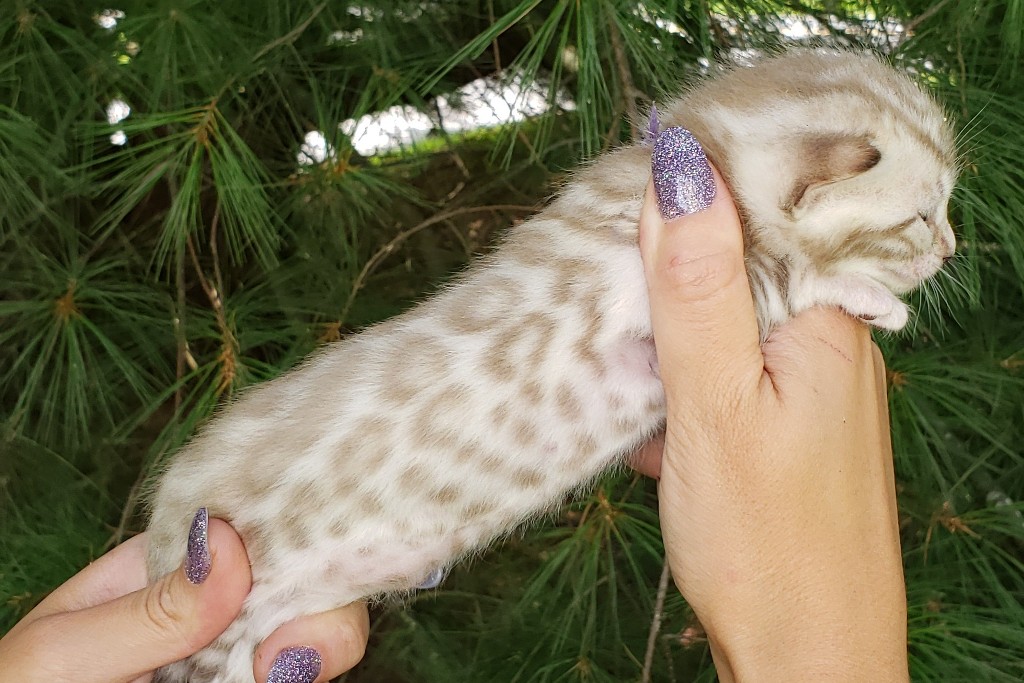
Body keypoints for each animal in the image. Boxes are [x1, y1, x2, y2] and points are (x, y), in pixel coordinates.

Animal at [148, 50, 954, 679]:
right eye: (921, 216)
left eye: (943, 211)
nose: (951, 248)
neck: (703, 153)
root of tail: (161, 543)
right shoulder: (642, 313)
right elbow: (782, 280)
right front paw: (872, 297)